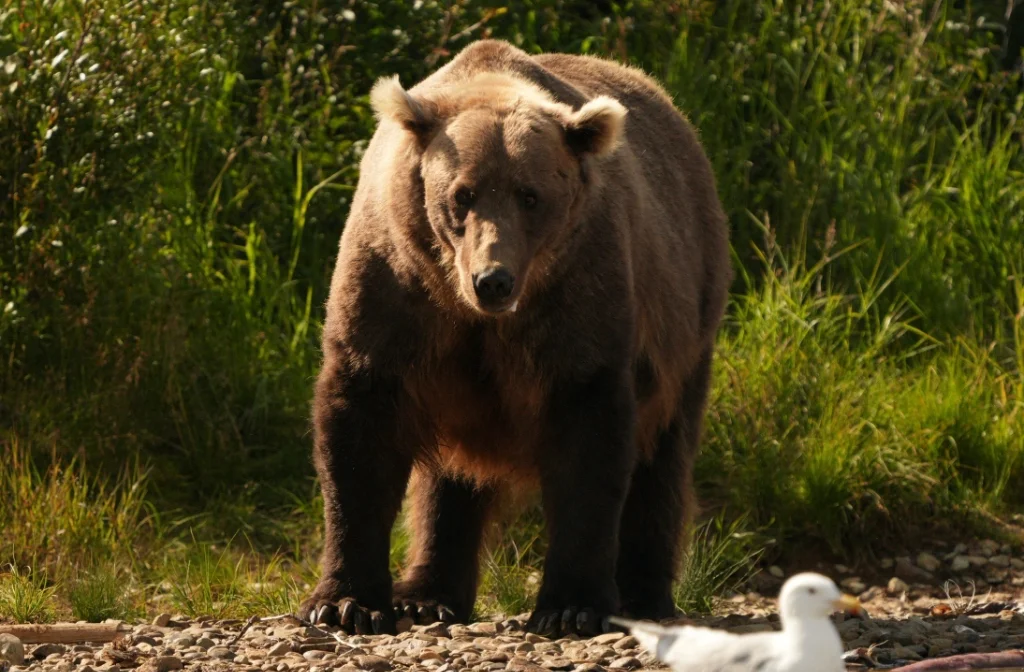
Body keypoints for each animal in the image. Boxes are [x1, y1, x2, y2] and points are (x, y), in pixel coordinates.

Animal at [298, 38, 732, 637]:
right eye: (462, 194)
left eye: (531, 196)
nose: (494, 279)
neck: (465, 305)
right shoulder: (396, 288)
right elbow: (360, 431)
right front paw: (346, 603)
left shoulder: (578, 297)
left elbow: (589, 441)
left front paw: (572, 606)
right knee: (448, 481)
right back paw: (426, 595)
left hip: (687, 318)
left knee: (662, 455)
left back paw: (644, 594)